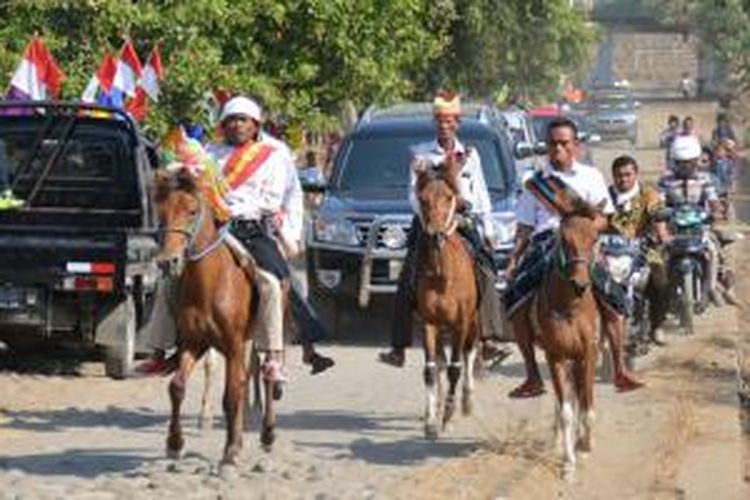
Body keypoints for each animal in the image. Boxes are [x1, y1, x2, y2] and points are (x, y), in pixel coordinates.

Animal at [153, 168, 276, 464]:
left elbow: (231, 395)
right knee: (245, 380)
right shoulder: (194, 343)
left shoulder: (232, 345)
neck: (209, 287)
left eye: (191, 210)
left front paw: (229, 451)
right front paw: (175, 443)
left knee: (267, 376)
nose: (167, 261)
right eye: (161, 212)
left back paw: (267, 434)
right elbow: (177, 387)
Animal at [516, 203, 604, 480]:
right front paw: (568, 463)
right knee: (564, 400)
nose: (580, 284)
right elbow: (566, 410)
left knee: (579, 396)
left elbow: (587, 406)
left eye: (595, 238)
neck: (570, 308)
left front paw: (585, 444)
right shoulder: (555, 356)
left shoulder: (588, 354)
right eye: (564, 240)